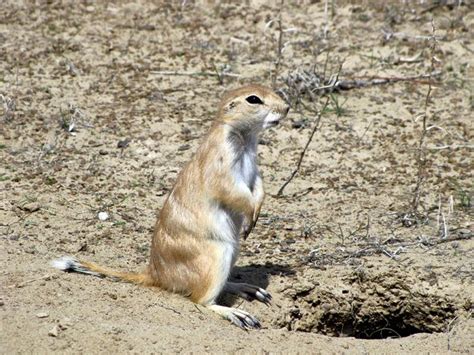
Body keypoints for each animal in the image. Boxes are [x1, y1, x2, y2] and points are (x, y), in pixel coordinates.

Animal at [51, 85, 288, 330]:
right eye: (254, 99)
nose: (287, 108)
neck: (245, 138)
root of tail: (156, 276)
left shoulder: (255, 169)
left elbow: (259, 188)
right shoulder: (222, 166)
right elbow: (236, 193)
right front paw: (251, 218)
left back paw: (249, 289)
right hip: (217, 255)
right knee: (201, 299)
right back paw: (237, 313)